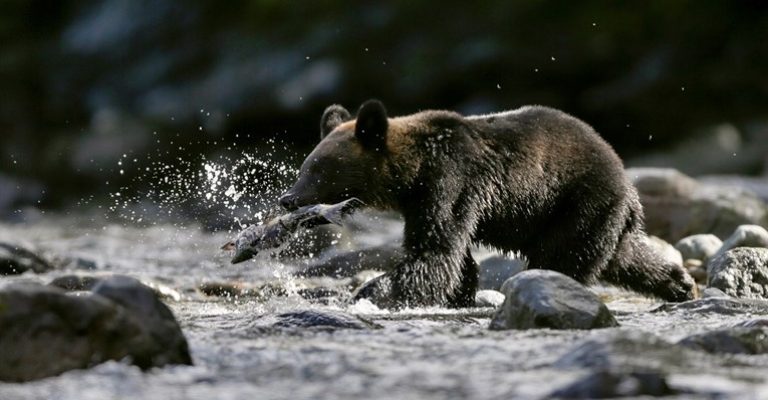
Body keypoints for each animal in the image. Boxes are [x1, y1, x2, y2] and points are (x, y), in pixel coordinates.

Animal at [280, 101, 700, 310]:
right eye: (305, 166)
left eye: (318, 169)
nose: (288, 198)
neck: (413, 173)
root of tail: (627, 183)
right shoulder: (430, 200)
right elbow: (453, 255)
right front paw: (459, 294)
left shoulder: (452, 181)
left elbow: (435, 250)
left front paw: (370, 293)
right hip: (594, 217)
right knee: (623, 256)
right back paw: (681, 285)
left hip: (577, 203)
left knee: (563, 259)